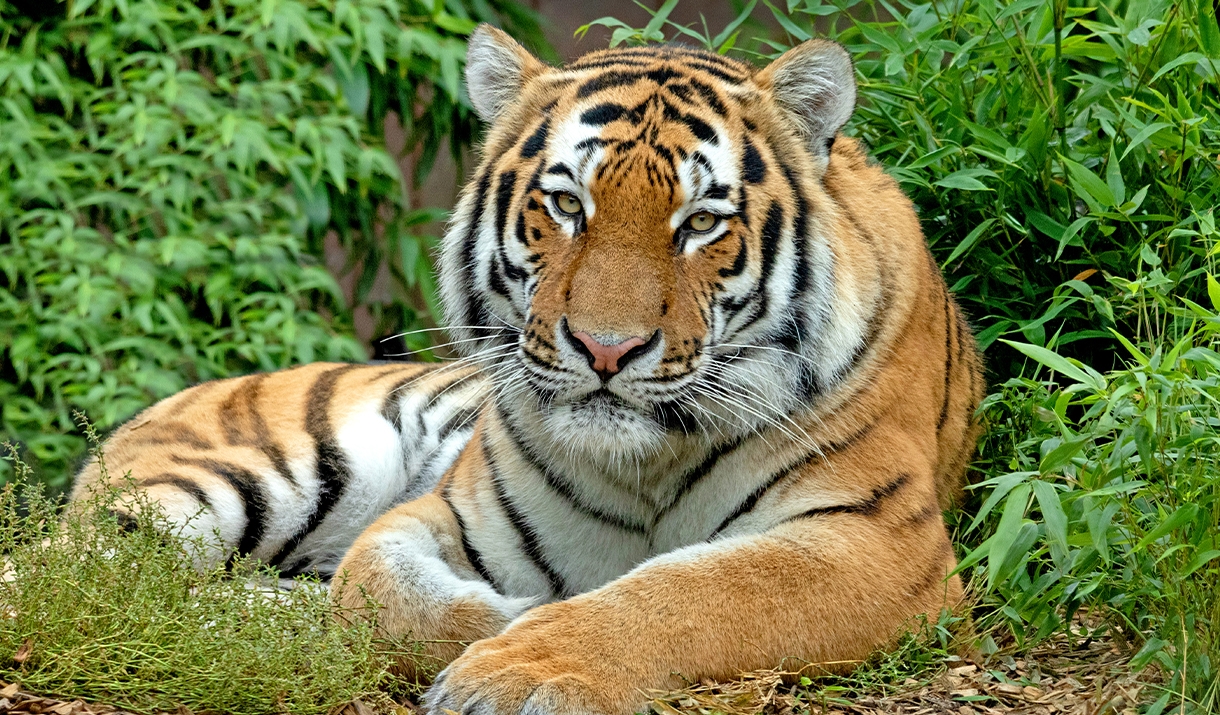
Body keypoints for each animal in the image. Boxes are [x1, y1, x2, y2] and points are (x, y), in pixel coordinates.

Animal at [66, 25, 985, 712]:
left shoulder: (878, 539)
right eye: (568, 204)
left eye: (699, 222)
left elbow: (698, 592)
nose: (607, 349)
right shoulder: (450, 510)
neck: (646, 464)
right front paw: (498, 623)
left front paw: (518, 668)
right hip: (252, 476)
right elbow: (376, 585)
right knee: (85, 575)